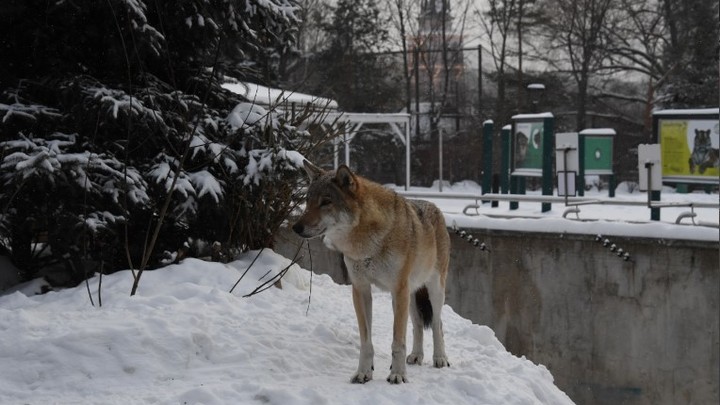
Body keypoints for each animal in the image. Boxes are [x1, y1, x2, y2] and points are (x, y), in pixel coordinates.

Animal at [292, 160, 451, 384]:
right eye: (308, 201)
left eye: (326, 202)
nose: (295, 227)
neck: (366, 244)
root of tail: (435, 207)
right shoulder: (361, 290)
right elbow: (366, 342)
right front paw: (363, 372)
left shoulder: (398, 289)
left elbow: (397, 341)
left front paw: (398, 375)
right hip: (407, 296)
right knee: (418, 324)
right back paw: (416, 356)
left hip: (432, 290)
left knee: (438, 324)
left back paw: (440, 358)